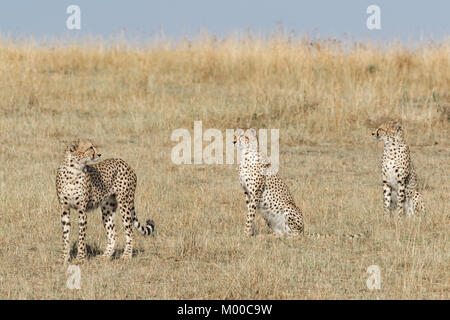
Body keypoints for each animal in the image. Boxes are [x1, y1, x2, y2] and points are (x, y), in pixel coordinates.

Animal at [232, 127, 362, 238]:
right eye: (235, 135)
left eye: (242, 136)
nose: (233, 141)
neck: (245, 155)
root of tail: (303, 231)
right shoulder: (247, 193)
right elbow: (250, 213)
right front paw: (251, 233)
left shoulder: (255, 192)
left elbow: (250, 214)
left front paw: (246, 234)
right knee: (282, 233)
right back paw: (267, 236)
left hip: (288, 207)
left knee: (294, 235)